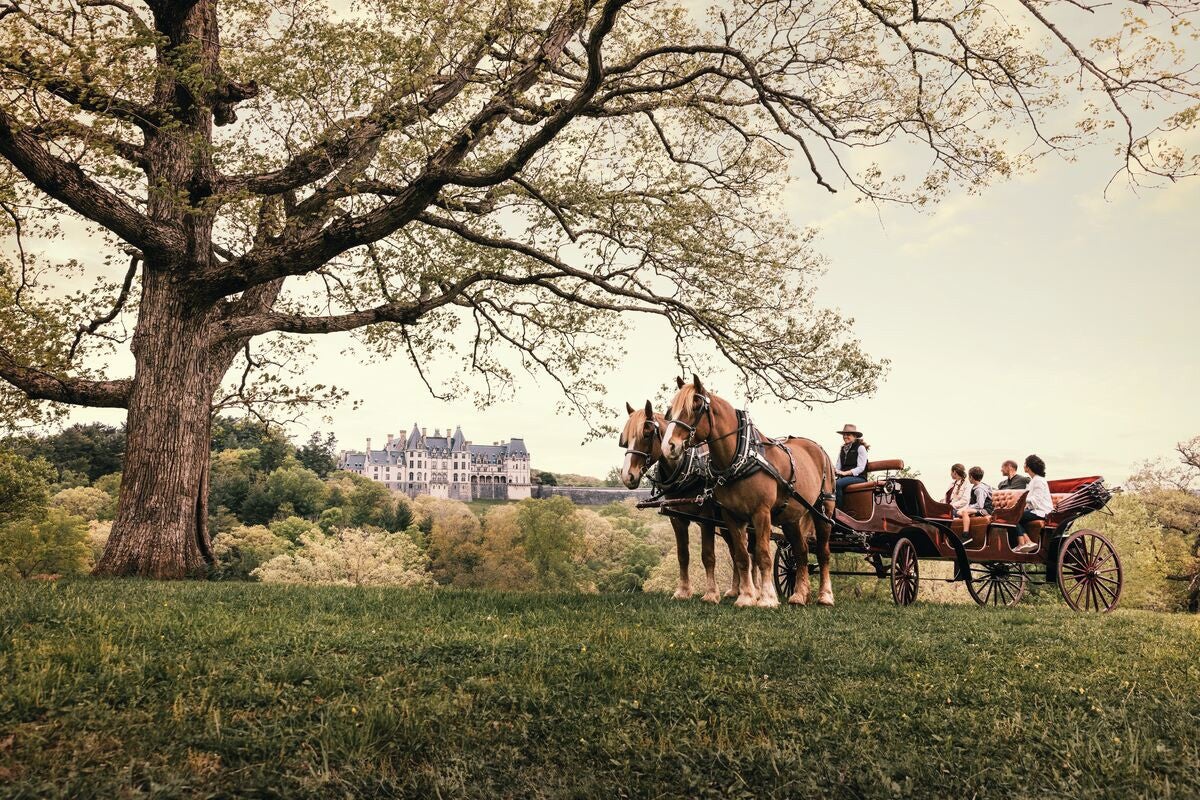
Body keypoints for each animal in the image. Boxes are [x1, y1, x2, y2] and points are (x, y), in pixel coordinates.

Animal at [619, 400, 739, 599]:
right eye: (625, 440)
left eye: (647, 433)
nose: (627, 476)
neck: (688, 468)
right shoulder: (677, 518)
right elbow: (683, 555)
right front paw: (683, 591)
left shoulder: (706, 517)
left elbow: (708, 555)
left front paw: (711, 593)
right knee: (736, 550)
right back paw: (737, 589)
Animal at [662, 376, 830, 606]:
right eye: (671, 410)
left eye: (695, 407)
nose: (669, 446)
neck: (740, 458)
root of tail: (817, 448)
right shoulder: (731, 516)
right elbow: (741, 557)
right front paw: (746, 597)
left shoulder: (761, 513)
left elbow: (763, 555)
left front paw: (767, 598)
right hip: (791, 518)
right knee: (801, 552)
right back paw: (799, 594)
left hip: (822, 511)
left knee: (823, 553)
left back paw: (825, 595)